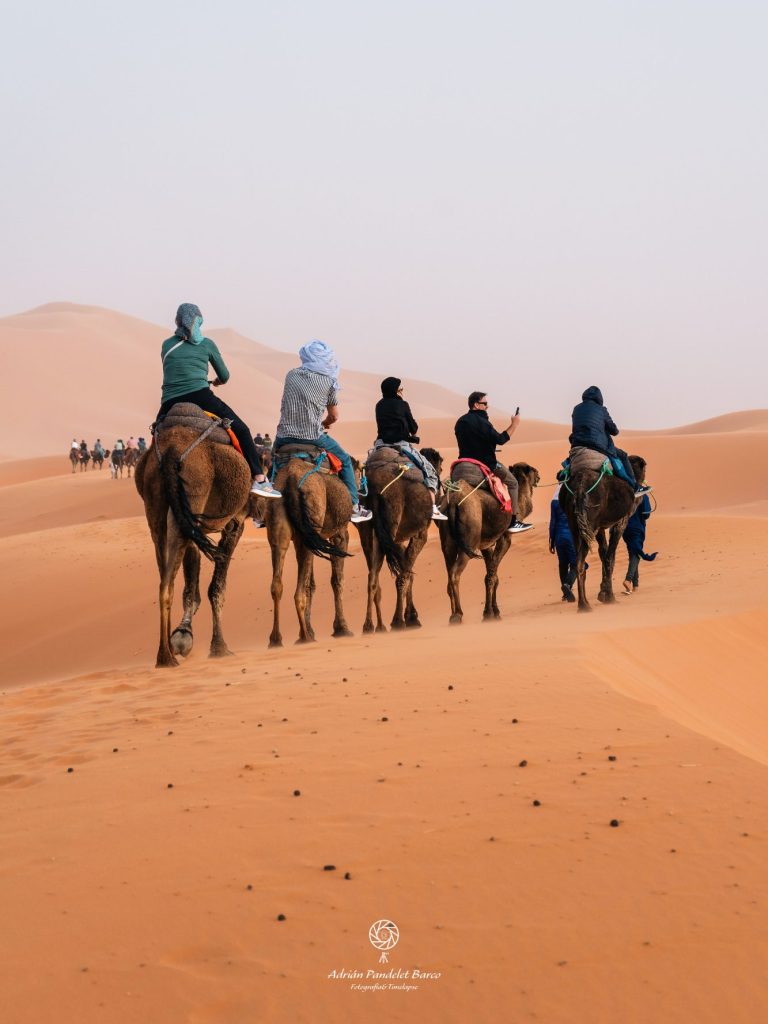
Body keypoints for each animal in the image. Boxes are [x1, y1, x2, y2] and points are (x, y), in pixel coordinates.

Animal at [134, 419, 250, 667]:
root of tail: (171, 450)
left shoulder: (192, 525)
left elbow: (191, 588)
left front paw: (183, 635)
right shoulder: (235, 522)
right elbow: (217, 587)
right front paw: (219, 648)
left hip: (157, 505)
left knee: (164, 581)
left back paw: (165, 655)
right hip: (194, 487)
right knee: (169, 582)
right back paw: (167, 657)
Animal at [266, 442, 356, 647]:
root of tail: (291, 478)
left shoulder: (306, 539)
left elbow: (310, 583)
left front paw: (311, 629)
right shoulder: (339, 535)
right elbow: (337, 580)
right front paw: (342, 628)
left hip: (281, 526)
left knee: (277, 584)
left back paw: (277, 639)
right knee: (299, 591)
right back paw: (305, 637)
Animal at [356, 448, 444, 630]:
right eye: (441, 468)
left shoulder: (396, 540)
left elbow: (407, 570)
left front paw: (410, 615)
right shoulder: (420, 534)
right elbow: (406, 573)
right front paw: (409, 617)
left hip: (368, 529)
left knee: (372, 577)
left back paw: (369, 626)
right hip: (391, 515)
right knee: (397, 575)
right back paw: (395, 621)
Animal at [438, 462, 540, 622]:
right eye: (532, 469)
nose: (539, 475)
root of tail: (453, 502)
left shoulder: (486, 545)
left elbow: (492, 574)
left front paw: (492, 611)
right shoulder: (505, 538)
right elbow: (492, 576)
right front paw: (490, 614)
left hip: (448, 543)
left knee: (449, 574)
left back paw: (452, 615)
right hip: (469, 541)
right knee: (455, 573)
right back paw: (458, 615)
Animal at [561, 446, 643, 606]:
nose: (642, 488)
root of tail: (580, 487)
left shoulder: (600, 527)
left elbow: (603, 554)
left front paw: (603, 592)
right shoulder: (620, 522)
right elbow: (610, 557)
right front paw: (608, 595)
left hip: (575, 524)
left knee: (578, 559)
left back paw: (583, 603)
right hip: (589, 522)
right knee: (580, 561)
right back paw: (584, 605)